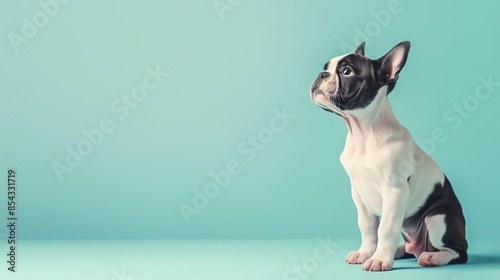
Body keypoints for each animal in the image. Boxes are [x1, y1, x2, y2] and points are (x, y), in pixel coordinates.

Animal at [310, 41, 466, 272]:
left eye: (347, 71)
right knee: (411, 248)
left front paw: (380, 259)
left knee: (457, 251)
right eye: (326, 68)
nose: (321, 74)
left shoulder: (395, 191)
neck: (363, 135)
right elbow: (367, 226)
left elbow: (386, 228)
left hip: (439, 218)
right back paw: (400, 250)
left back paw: (433, 257)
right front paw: (367, 252)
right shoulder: (358, 193)